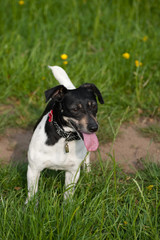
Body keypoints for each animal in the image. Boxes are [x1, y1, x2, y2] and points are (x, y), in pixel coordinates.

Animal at [25, 66, 104, 202]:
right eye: (75, 109)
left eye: (94, 106)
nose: (94, 127)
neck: (64, 138)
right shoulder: (33, 169)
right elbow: (32, 194)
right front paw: (30, 205)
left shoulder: (72, 172)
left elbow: (68, 194)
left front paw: (67, 205)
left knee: (87, 159)